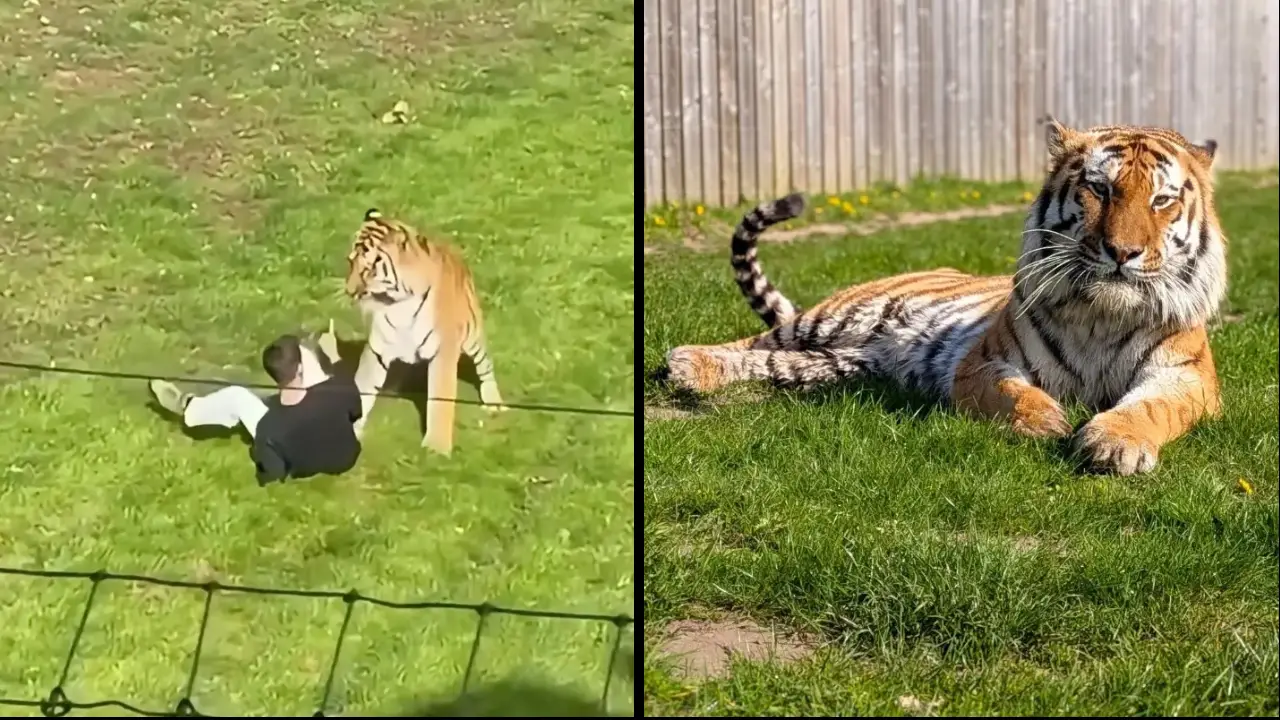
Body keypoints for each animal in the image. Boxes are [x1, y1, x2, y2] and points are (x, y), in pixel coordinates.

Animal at [344, 208, 506, 455]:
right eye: (350, 262)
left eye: (369, 269)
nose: (349, 291)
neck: (398, 303)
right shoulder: (378, 349)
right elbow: (363, 387)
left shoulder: (444, 352)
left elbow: (439, 400)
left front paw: (436, 448)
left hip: (473, 338)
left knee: (485, 366)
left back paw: (493, 401)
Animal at [663, 119, 1226, 476]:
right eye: (1100, 189)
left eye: (1161, 200)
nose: (1122, 252)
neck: (1102, 314)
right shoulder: (983, 363)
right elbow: (1015, 394)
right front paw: (1046, 422)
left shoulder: (1186, 377)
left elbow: (1151, 408)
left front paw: (1116, 443)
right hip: (835, 317)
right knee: (754, 342)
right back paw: (687, 363)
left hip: (835, 364)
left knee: (771, 362)